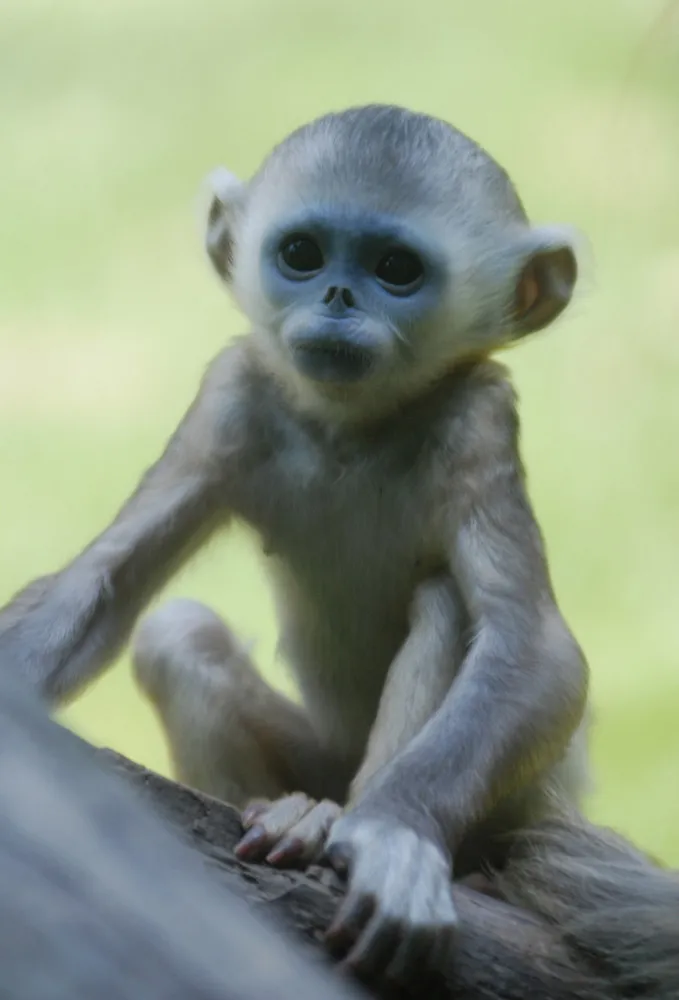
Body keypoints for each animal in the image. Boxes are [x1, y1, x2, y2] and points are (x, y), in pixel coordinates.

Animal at [1, 104, 678, 995]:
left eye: (395, 268)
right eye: (301, 254)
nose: (336, 295)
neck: (350, 431)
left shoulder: (480, 421)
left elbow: (539, 655)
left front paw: (395, 837)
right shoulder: (230, 394)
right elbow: (100, 585)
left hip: (519, 806)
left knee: (443, 601)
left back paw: (339, 828)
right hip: (315, 752)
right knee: (179, 632)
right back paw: (288, 814)